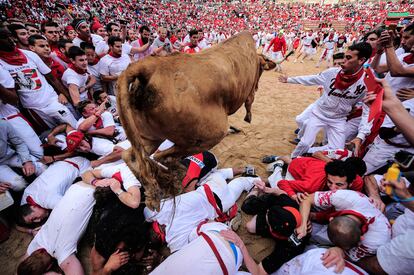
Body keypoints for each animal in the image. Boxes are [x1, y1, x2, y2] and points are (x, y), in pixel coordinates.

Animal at [117, 31, 268, 209]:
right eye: (261, 71)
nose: (258, 86)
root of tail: (149, 67)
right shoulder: (249, 89)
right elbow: (250, 100)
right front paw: (248, 116)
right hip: (212, 133)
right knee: (163, 156)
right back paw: (175, 178)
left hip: (149, 136)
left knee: (132, 155)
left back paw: (159, 187)